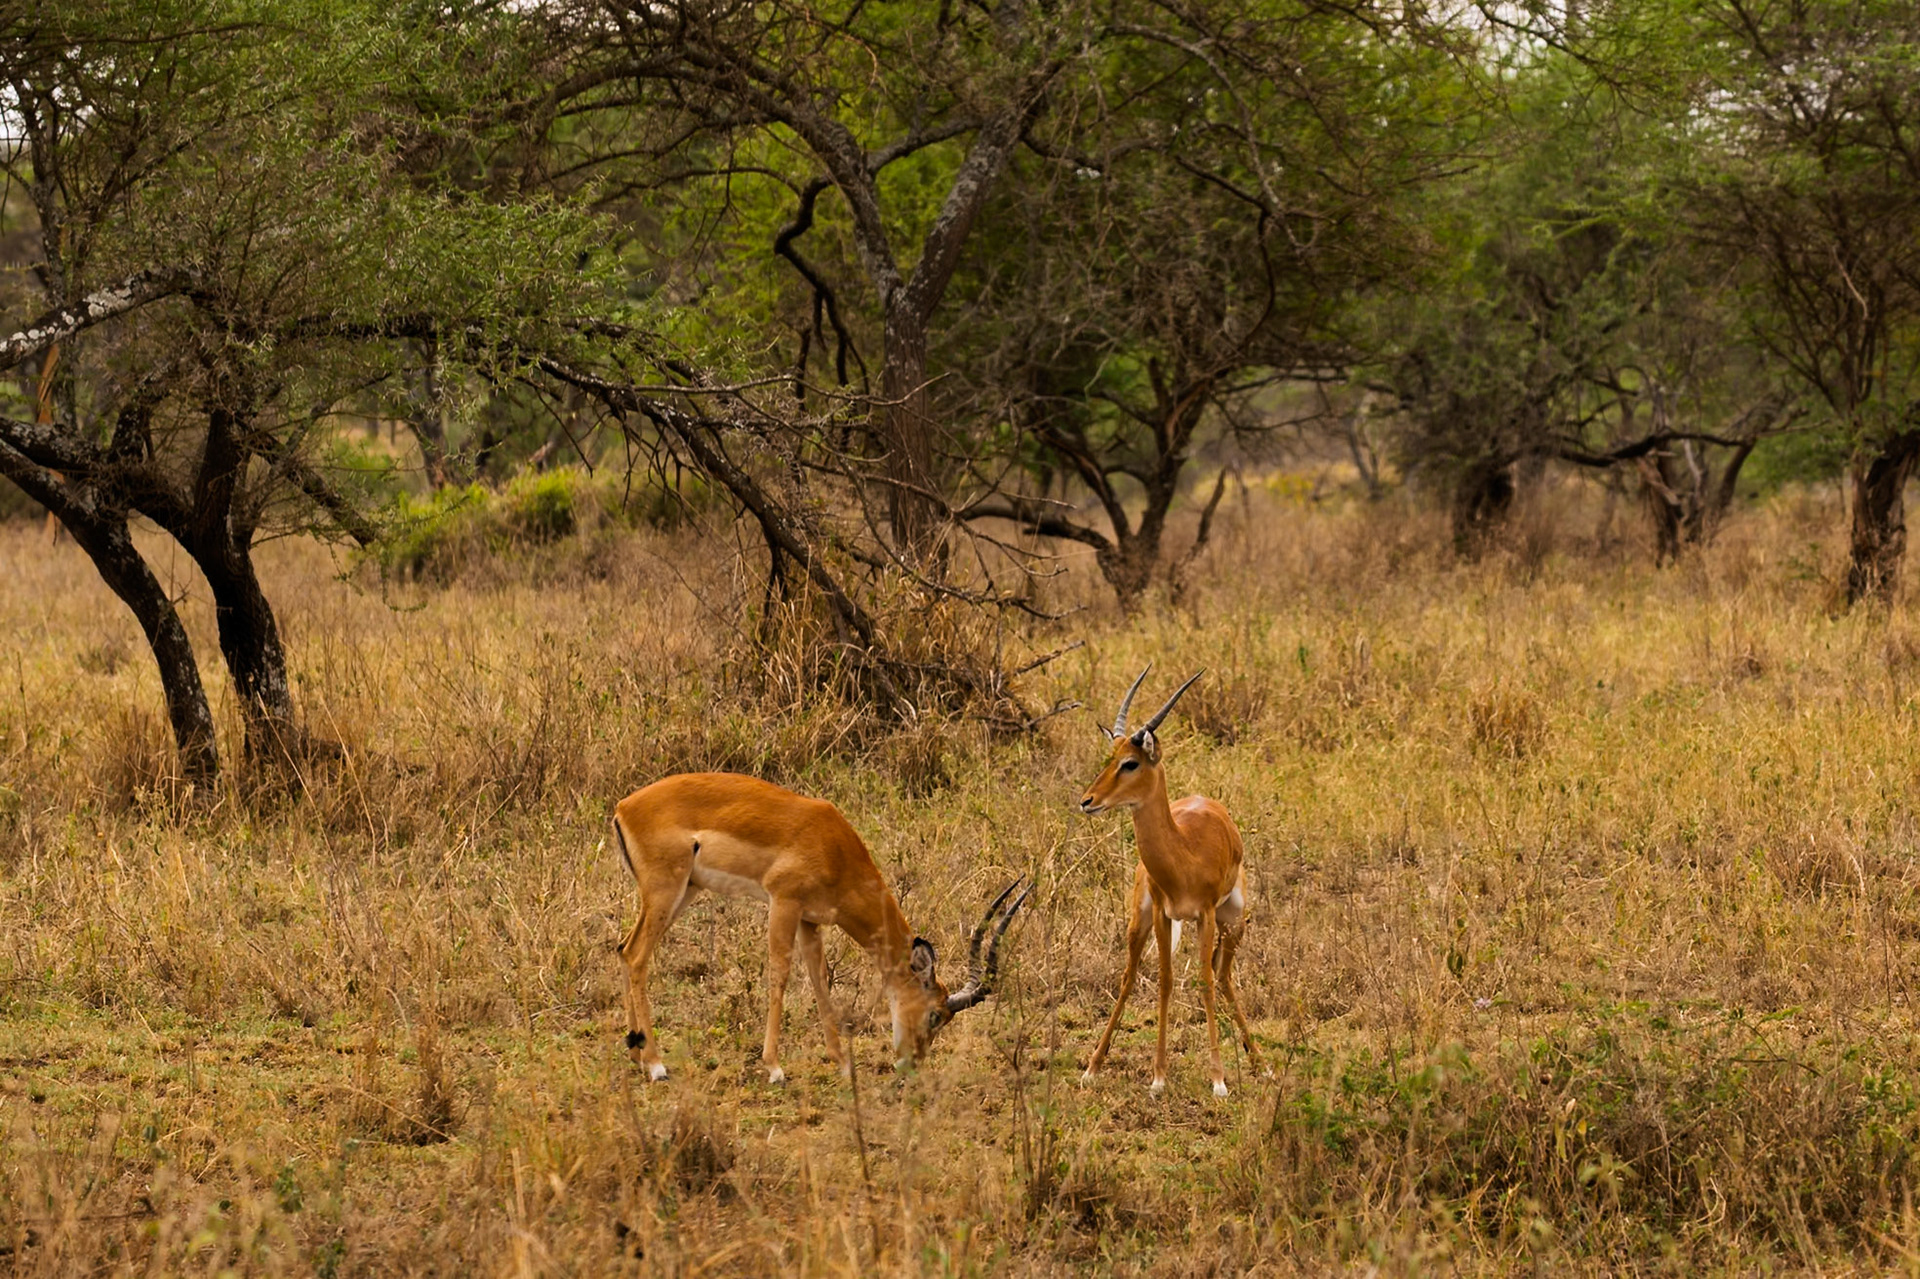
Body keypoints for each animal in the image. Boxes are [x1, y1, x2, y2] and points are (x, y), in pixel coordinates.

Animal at [610, 772, 1029, 1084]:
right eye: (935, 1015)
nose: (911, 1064)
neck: (834, 846)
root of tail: (622, 807)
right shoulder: (784, 901)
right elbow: (780, 973)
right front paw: (775, 1068)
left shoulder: (811, 920)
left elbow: (819, 979)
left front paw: (842, 1063)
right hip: (668, 890)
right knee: (638, 956)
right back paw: (656, 1065)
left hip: (685, 891)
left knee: (624, 949)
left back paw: (635, 1053)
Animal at [1077, 667, 1261, 1098]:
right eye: (1109, 758)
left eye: (1130, 763)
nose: (1087, 801)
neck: (1184, 855)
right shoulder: (1163, 914)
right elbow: (1164, 981)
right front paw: (1159, 1077)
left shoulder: (1206, 914)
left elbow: (1205, 982)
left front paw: (1218, 1081)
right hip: (1139, 920)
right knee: (1129, 977)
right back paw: (1093, 1066)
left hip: (1233, 921)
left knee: (1222, 976)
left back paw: (1262, 1065)